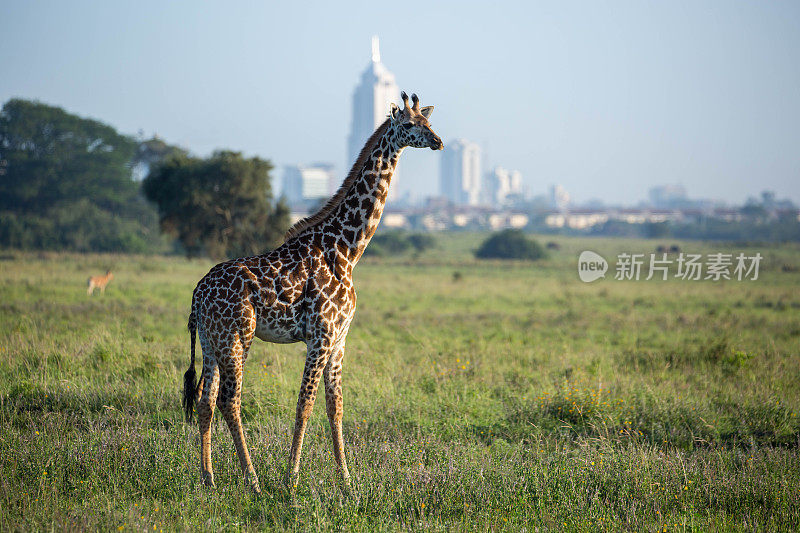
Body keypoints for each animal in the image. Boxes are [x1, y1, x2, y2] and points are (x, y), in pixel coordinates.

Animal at [183, 92, 444, 494]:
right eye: (409, 125)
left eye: (428, 122)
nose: (438, 142)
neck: (347, 250)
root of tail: (198, 292)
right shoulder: (319, 336)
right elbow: (304, 405)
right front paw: (291, 478)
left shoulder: (339, 339)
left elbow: (335, 406)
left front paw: (347, 480)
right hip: (237, 337)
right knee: (230, 400)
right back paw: (252, 479)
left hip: (213, 342)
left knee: (205, 401)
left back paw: (208, 479)